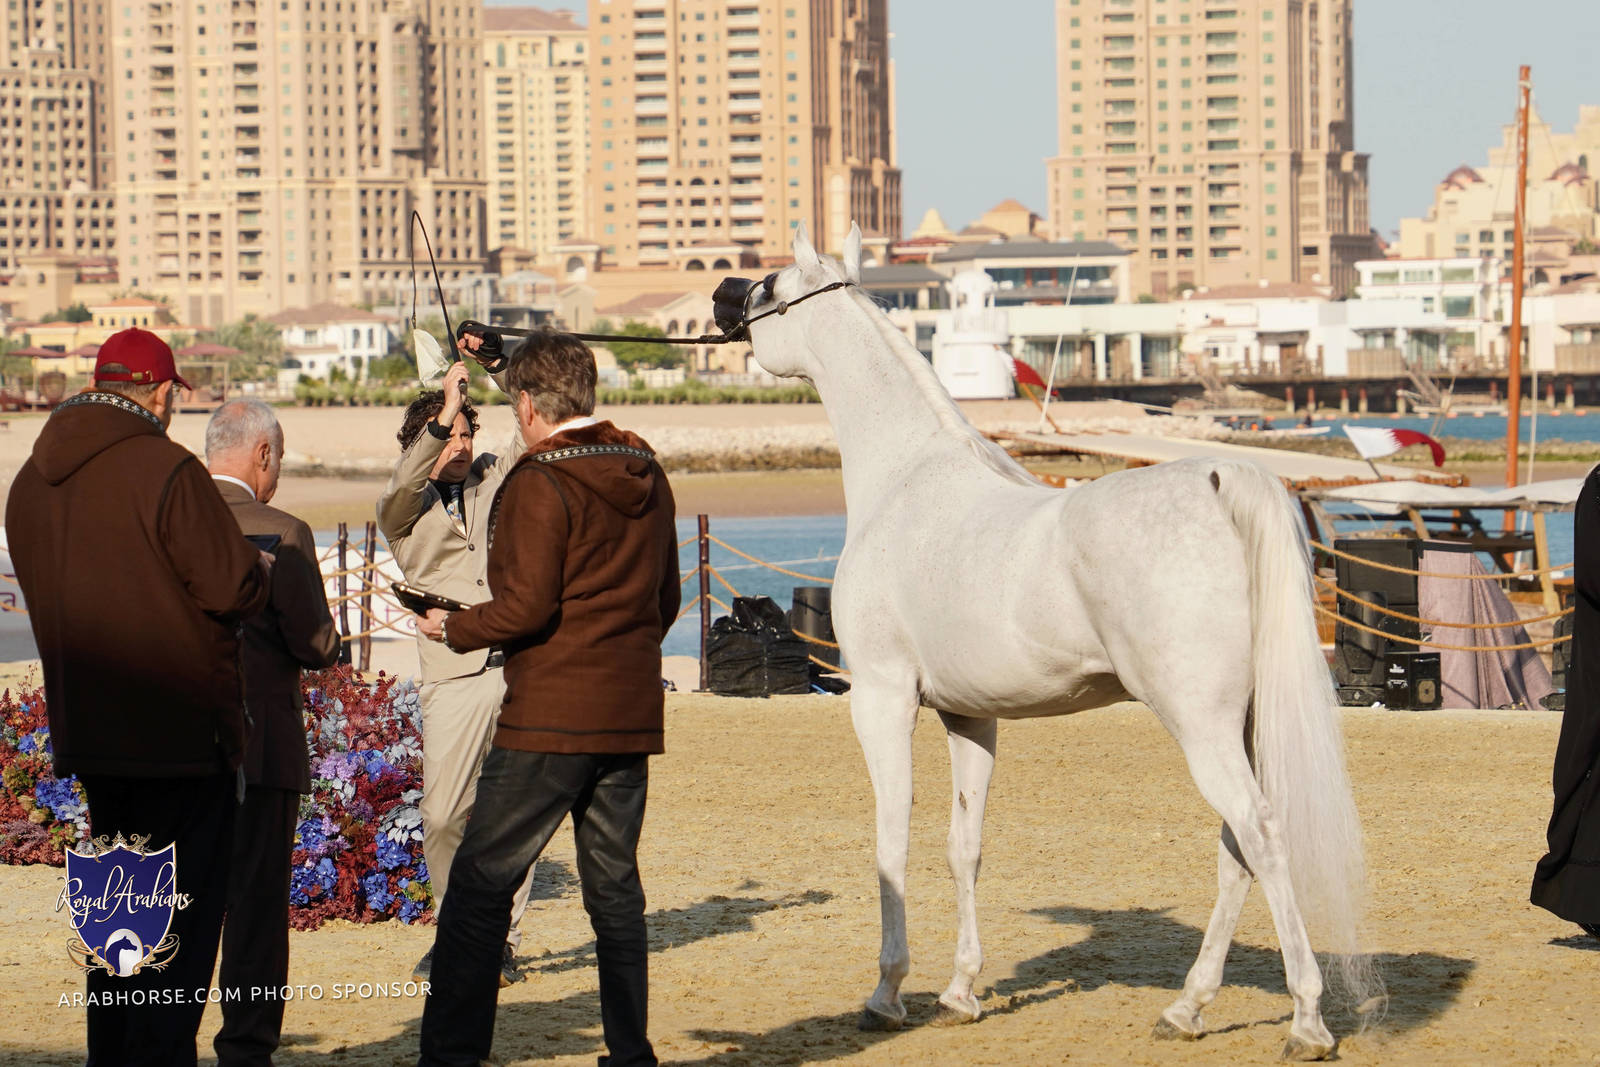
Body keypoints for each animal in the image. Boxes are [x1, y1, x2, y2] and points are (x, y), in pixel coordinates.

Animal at [729, 223, 1376, 1060]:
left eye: (770, 285)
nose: (727, 304)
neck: (907, 478)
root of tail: (1222, 482)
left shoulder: (881, 699)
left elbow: (891, 843)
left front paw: (887, 993)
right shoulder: (970, 715)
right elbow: (963, 845)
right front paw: (961, 991)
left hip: (1201, 724)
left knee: (1260, 835)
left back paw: (1305, 1019)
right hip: (1242, 724)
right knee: (1236, 849)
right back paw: (1186, 1007)